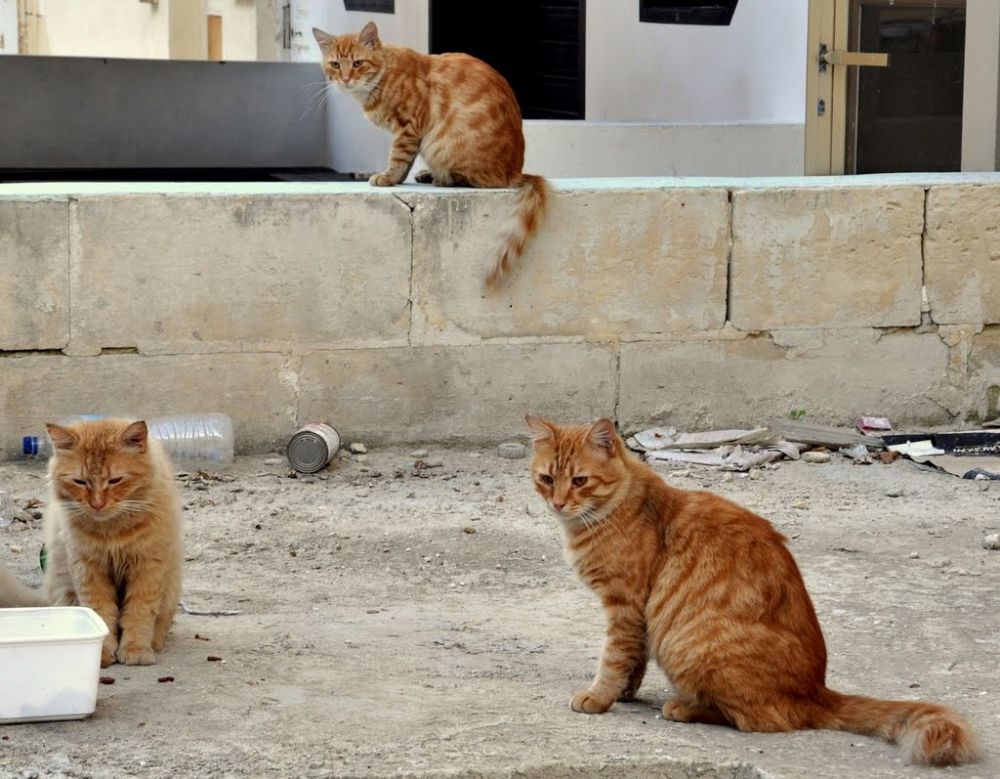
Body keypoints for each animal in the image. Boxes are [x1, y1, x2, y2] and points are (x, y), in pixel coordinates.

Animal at [0, 418, 182, 668]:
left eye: (115, 481)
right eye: (80, 482)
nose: (97, 504)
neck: (112, 531)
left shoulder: (147, 567)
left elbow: (139, 613)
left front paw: (136, 649)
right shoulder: (88, 568)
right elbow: (102, 613)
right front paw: (103, 653)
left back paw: (154, 643)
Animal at [312, 22, 548, 290]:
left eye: (358, 63)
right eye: (335, 64)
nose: (345, 79)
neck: (383, 76)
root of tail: (515, 171)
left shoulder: (408, 127)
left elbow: (398, 158)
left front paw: (387, 177)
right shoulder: (413, 135)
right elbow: (406, 163)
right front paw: (399, 178)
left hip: (441, 145)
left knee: (478, 181)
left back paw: (441, 178)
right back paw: (428, 174)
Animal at [528, 418, 980, 764]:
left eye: (580, 481)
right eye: (547, 479)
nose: (558, 503)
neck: (614, 510)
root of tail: (817, 691)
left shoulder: (625, 606)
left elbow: (613, 658)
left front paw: (599, 697)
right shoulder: (635, 616)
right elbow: (633, 661)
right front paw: (624, 694)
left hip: (689, 645)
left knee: (760, 721)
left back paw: (684, 708)